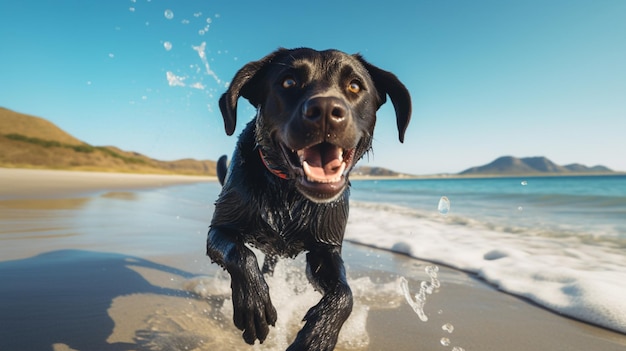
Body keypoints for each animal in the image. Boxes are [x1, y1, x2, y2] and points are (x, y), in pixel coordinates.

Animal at [206, 47, 410, 351]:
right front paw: (253, 302)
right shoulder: (219, 229)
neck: (289, 194)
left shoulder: (325, 250)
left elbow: (344, 293)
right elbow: (239, 253)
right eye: (288, 82)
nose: (325, 111)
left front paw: (318, 335)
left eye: (354, 86)